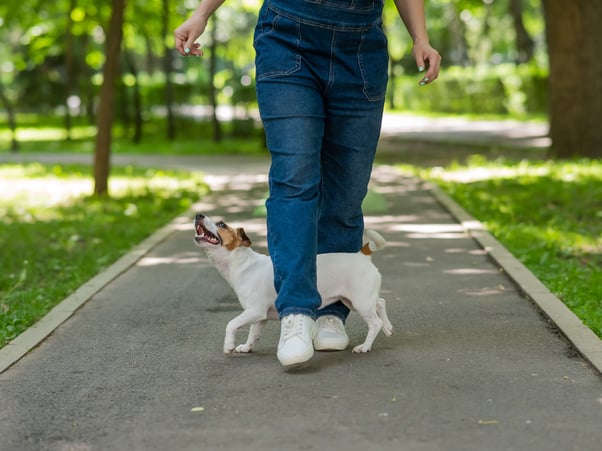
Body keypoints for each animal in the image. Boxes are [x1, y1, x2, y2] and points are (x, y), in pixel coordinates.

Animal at [191, 214, 390, 354]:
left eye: (222, 224)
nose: (198, 215)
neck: (242, 263)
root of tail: (362, 254)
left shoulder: (254, 311)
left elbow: (232, 324)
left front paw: (229, 345)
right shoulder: (259, 316)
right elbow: (253, 333)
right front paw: (246, 347)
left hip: (360, 302)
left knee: (375, 323)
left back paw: (365, 346)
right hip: (354, 300)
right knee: (381, 302)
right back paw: (388, 328)